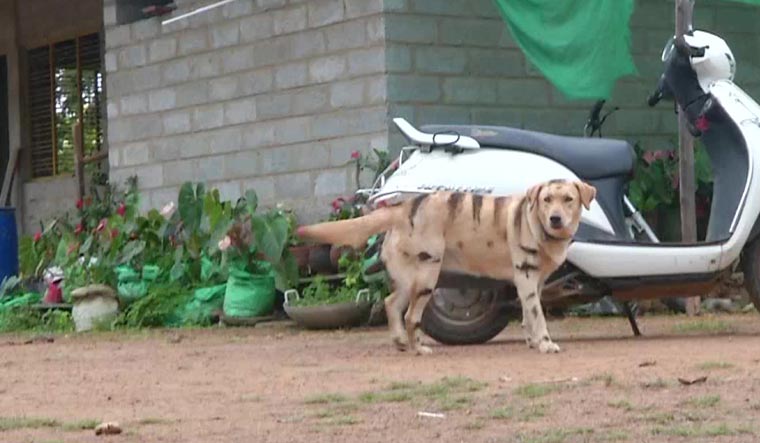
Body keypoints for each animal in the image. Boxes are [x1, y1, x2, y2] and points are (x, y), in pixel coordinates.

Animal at [298, 179, 600, 356]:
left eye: (568, 199)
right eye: (547, 200)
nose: (555, 219)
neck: (535, 223)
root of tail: (403, 207)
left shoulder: (533, 282)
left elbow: (528, 315)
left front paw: (534, 342)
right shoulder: (525, 277)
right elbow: (538, 316)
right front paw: (545, 343)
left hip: (409, 280)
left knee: (391, 303)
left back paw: (400, 342)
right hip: (427, 278)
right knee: (411, 317)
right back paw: (418, 348)